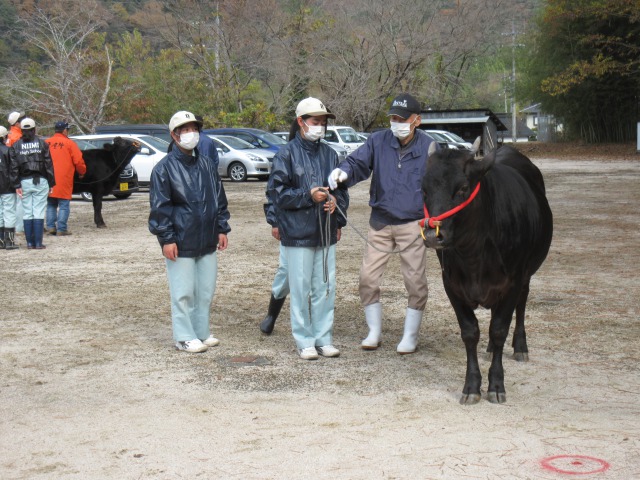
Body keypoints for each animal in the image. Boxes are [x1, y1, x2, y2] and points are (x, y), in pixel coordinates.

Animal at [420, 138, 553, 404]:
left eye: (463, 187)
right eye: (424, 189)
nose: (432, 234)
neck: (474, 255)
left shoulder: (512, 283)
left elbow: (499, 329)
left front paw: (496, 384)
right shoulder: (451, 285)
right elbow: (470, 332)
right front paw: (471, 386)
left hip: (526, 276)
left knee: (521, 307)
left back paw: (520, 347)